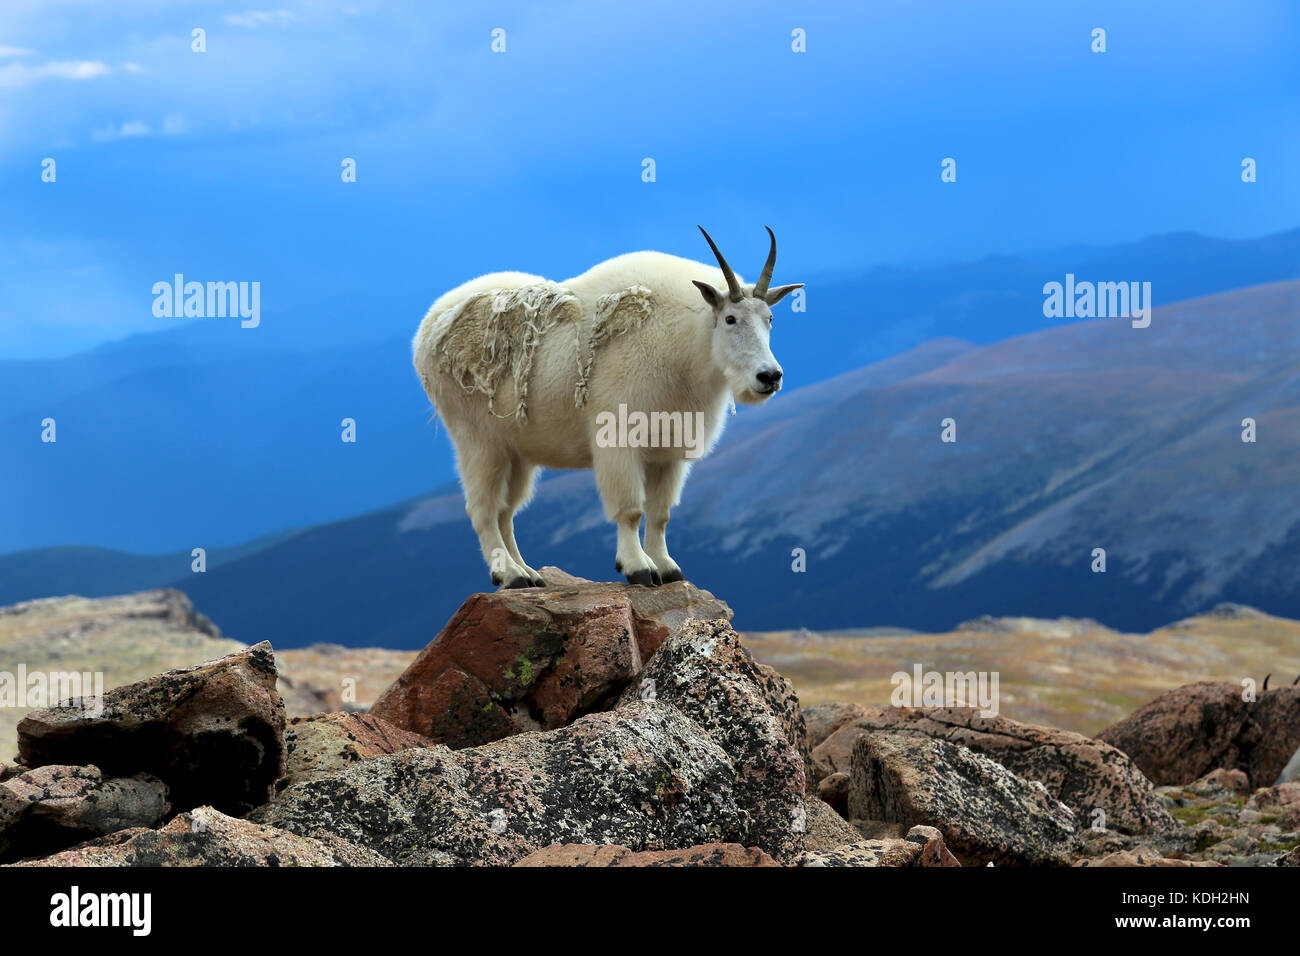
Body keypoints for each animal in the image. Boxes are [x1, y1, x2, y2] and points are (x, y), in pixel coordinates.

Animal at [416, 230, 800, 590]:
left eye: (770, 318)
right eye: (731, 318)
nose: (769, 376)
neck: (687, 346)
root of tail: (426, 329)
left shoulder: (669, 450)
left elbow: (660, 513)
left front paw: (668, 568)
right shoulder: (619, 439)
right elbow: (630, 510)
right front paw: (638, 568)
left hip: (517, 451)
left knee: (506, 512)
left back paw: (529, 573)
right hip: (478, 439)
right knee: (483, 510)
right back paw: (509, 575)